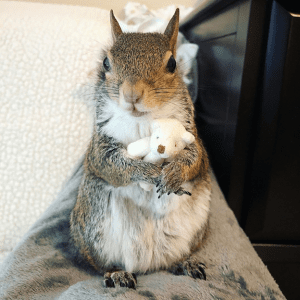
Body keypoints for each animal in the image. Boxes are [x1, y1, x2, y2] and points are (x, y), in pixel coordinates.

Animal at [69, 8, 211, 290]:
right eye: (106, 63)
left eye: (172, 64)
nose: (132, 95)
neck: (143, 119)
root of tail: (149, 264)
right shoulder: (99, 146)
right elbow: (112, 164)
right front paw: (148, 173)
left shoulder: (191, 135)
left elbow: (195, 159)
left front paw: (175, 172)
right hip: (92, 226)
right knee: (102, 263)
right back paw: (116, 273)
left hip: (197, 226)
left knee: (176, 258)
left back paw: (185, 263)